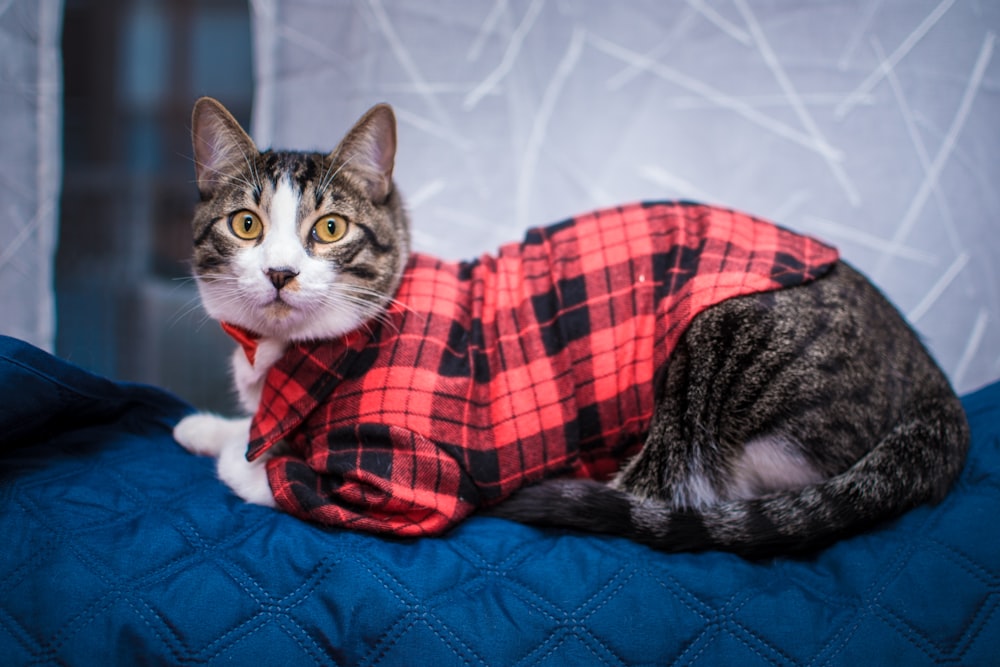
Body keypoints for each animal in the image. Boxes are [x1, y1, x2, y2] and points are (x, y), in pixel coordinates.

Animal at [172, 98, 968, 560]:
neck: (289, 357)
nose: (280, 273)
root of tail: (932, 383)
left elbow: (276, 475)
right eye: (247, 225)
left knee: (678, 492)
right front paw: (208, 425)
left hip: (714, 360)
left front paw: (237, 453)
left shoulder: (407, 482)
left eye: (330, 229)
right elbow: (253, 432)